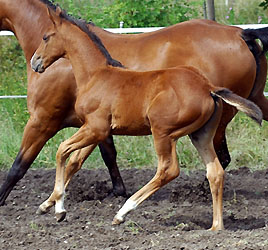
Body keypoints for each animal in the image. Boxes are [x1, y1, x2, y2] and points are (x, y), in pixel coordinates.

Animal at [0, 0, 268, 207]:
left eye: (45, 37)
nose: (36, 62)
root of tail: (241, 33)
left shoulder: (43, 120)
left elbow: (20, 165)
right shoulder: (95, 125)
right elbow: (96, 156)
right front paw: (114, 191)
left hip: (217, 118)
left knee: (219, 158)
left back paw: (197, 192)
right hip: (254, 100)